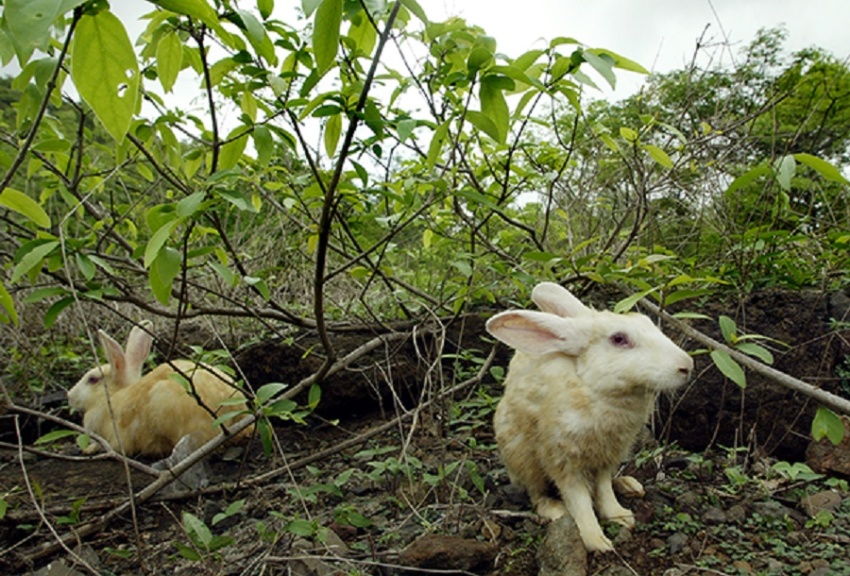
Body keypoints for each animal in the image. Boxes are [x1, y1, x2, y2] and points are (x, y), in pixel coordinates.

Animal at [486, 282, 693, 552]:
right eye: (619, 339)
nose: (687, 366)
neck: (595, 389)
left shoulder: (609, 455)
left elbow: (603, 488)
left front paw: (621, 516)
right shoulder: (563, 459)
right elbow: (579, 499)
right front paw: (597, 541)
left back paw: (629, 485)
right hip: (521, 456)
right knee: (536, 492)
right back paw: (554, 509)